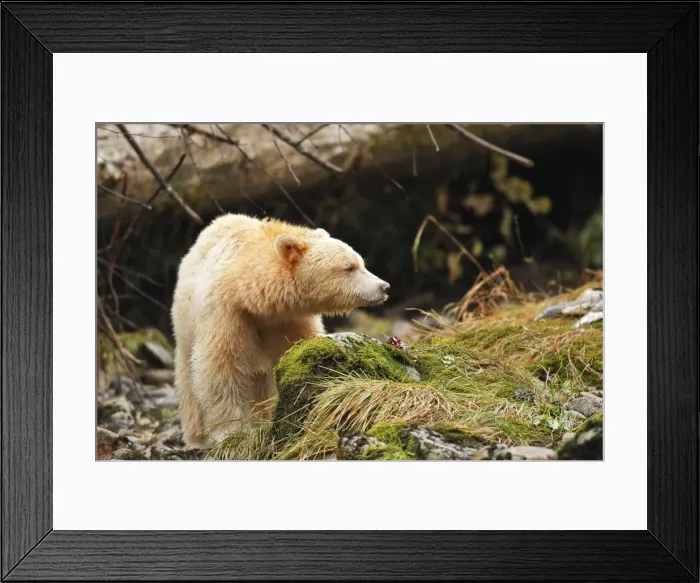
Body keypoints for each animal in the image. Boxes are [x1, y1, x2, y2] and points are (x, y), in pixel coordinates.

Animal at [171, 213, 390, 449]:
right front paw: (231, 432)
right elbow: (221, 367)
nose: (384, 287)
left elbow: (293, 355)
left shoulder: (289, 320)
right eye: (349, 267)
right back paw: (197, 436)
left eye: (361, 263)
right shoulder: (226, 313)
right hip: (185, 324)